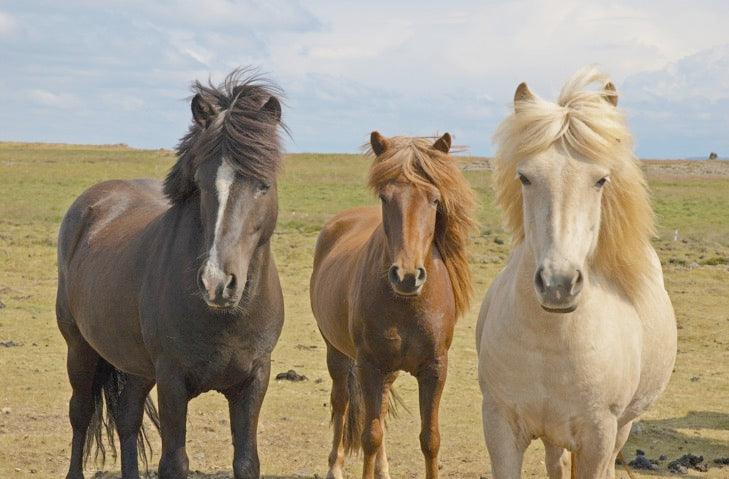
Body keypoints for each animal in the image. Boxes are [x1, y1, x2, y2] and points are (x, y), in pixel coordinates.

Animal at [56, 69, 285, 479]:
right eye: (202, 184)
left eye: (264, 184)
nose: (217, 283)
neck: (226, 318)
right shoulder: (172, 381)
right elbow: (174, 462)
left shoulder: (254, 381)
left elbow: (246, 462)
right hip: (79, 348)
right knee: (80, 414)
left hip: (134, 366)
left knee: (127, 418)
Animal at [310, 132, 477, 479]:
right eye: (385, 198)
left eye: (434, 200)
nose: (407, 276)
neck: (407, 303)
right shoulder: (370, 365)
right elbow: (370, 435)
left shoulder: (434, 368)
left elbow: (430, 439)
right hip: (337, 353)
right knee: (341, 402)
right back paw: (335, 467)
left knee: (382, 407)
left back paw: (383, 469)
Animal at [475, 67, 677, 478]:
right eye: (525, 177)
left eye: (600, 180)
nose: (558, 284)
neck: (550, 341)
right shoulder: (500, 426)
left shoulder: (598, 435)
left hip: (621, 428)